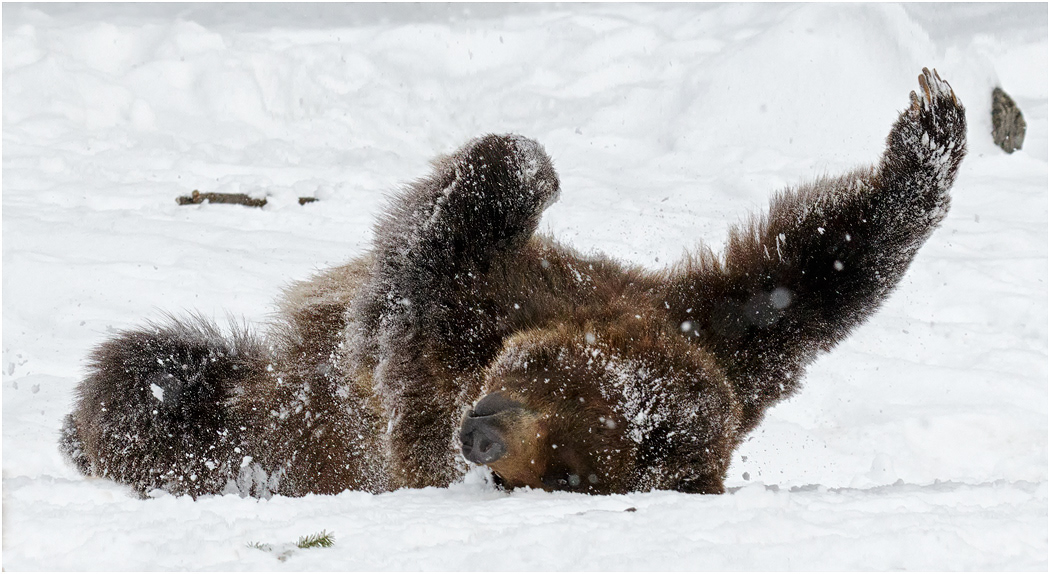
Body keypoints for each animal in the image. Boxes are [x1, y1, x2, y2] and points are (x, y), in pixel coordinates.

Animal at [60, 68, 966, 498]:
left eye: (568, 471)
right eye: (554, 374)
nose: (486, 436)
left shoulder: (417, 387)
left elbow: (410, 282)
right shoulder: (710, 330)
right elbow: (810, 276)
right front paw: (931, 132)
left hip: (263, 436)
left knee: (156, 393)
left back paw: (97, 423)